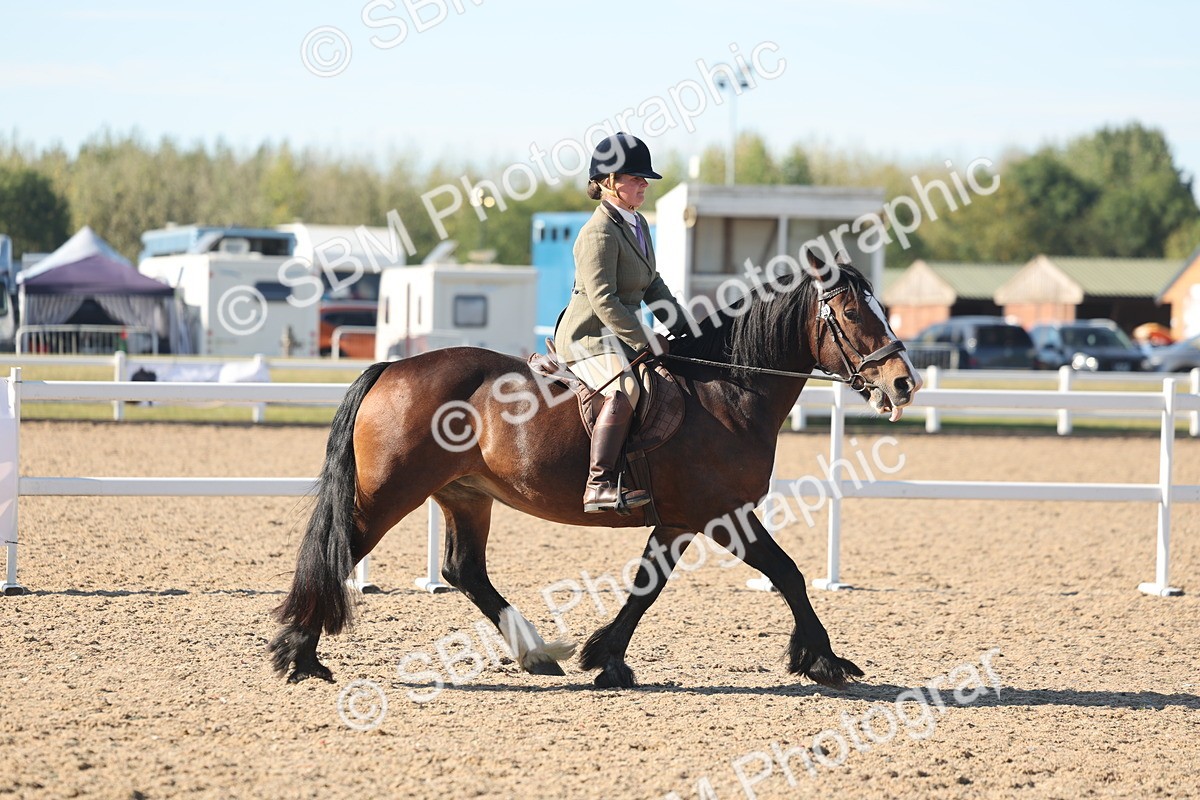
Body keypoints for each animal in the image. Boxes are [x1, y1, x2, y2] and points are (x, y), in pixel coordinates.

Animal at [269, 250, 920, 690]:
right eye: (853, 312)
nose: (903, 383)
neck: (727, 390)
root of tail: (392, 368)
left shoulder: (681, 521)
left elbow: (648, 586)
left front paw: (606, 657)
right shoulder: (720, 513)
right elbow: (786, 574)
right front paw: (825, 661)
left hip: (465, 494)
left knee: (463, 570)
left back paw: (535, 653)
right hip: (391, 492)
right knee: (340, 551)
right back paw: (299, 655)